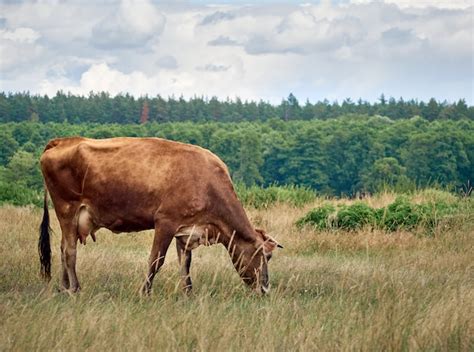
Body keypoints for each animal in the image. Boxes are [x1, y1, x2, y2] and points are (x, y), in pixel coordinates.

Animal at [39, 138, 282, 294]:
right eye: (267, 256)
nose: (265, 289)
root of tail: (63, 141)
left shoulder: (186, 231)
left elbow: (185, 265)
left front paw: (188, 294)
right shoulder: (165, 222)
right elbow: (156, 260)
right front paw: (145, 293)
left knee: (63, 248)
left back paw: (63, 288)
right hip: (67, 209)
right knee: (69, 251)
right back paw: (75, 289)